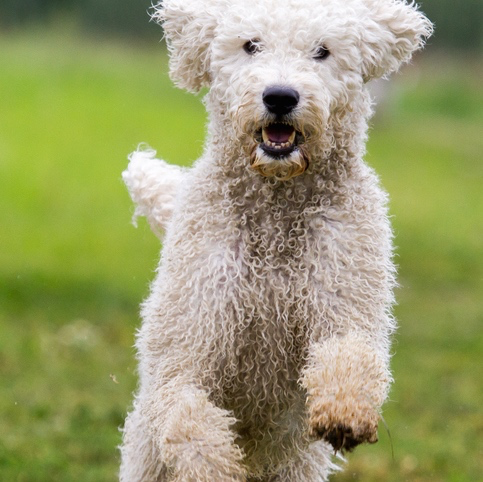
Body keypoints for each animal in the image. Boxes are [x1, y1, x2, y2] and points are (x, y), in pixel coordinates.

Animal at [119, 1, 432, 480]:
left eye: (322, 50)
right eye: (251, 44)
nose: (280, 96)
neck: (276, 212)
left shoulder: (346, 290)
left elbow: (350, 352)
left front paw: (344, 413)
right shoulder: (186, 344)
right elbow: (188, 417)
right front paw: (216, 463)